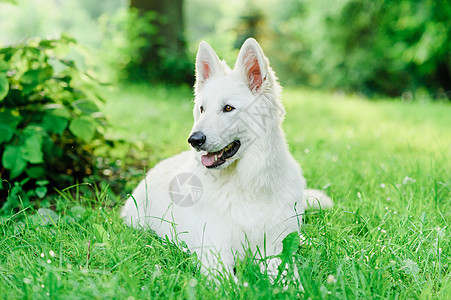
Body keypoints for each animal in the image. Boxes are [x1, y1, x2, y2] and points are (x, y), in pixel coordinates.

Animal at [122, 38, 334, 278]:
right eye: (202, 109)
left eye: (228, 108)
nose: (194, 140)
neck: (246, 184)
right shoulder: (214, 257)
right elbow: (237, 283)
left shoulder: (275, 250)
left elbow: (289, 277)